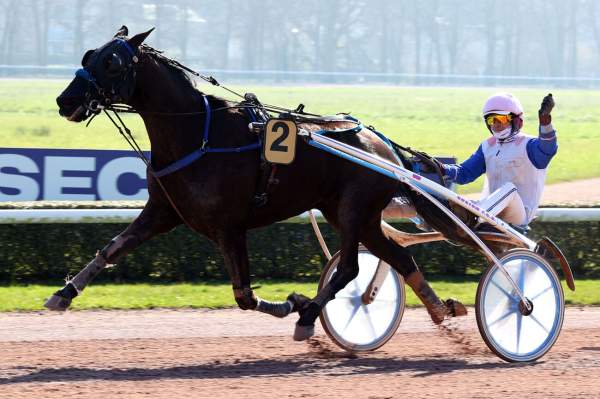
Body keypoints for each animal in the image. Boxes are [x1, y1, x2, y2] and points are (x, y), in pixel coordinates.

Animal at [50, 26, 468, 340]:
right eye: (89, 55)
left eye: (112, 62)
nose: (64, 101)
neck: (198, 135)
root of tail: (387, 148)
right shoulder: (163, 211)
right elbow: (112, 248)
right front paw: (64, 293)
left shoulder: (230, 227)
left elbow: (244, 295)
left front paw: (292, 304)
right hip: (353, 214)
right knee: (398, 256)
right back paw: (438, 309)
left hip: (354, 209)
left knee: (350, 267)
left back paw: (309, 316)